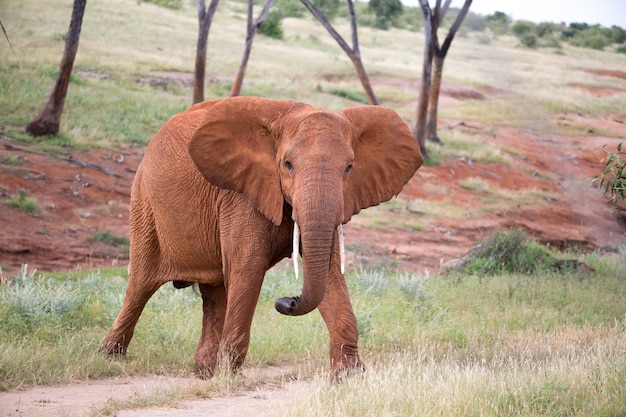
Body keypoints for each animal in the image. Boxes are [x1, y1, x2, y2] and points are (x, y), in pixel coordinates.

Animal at [101, 95, 424, 376]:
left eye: (349, 168)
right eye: (287, 165)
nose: (285, 301)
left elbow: (330, 273)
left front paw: (349, 377)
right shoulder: (241, 194)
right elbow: (249, 267)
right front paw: (229, 378)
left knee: (214, 293)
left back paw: (203, 372)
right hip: (143, 201)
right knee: (141, 283)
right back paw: (108, 357)